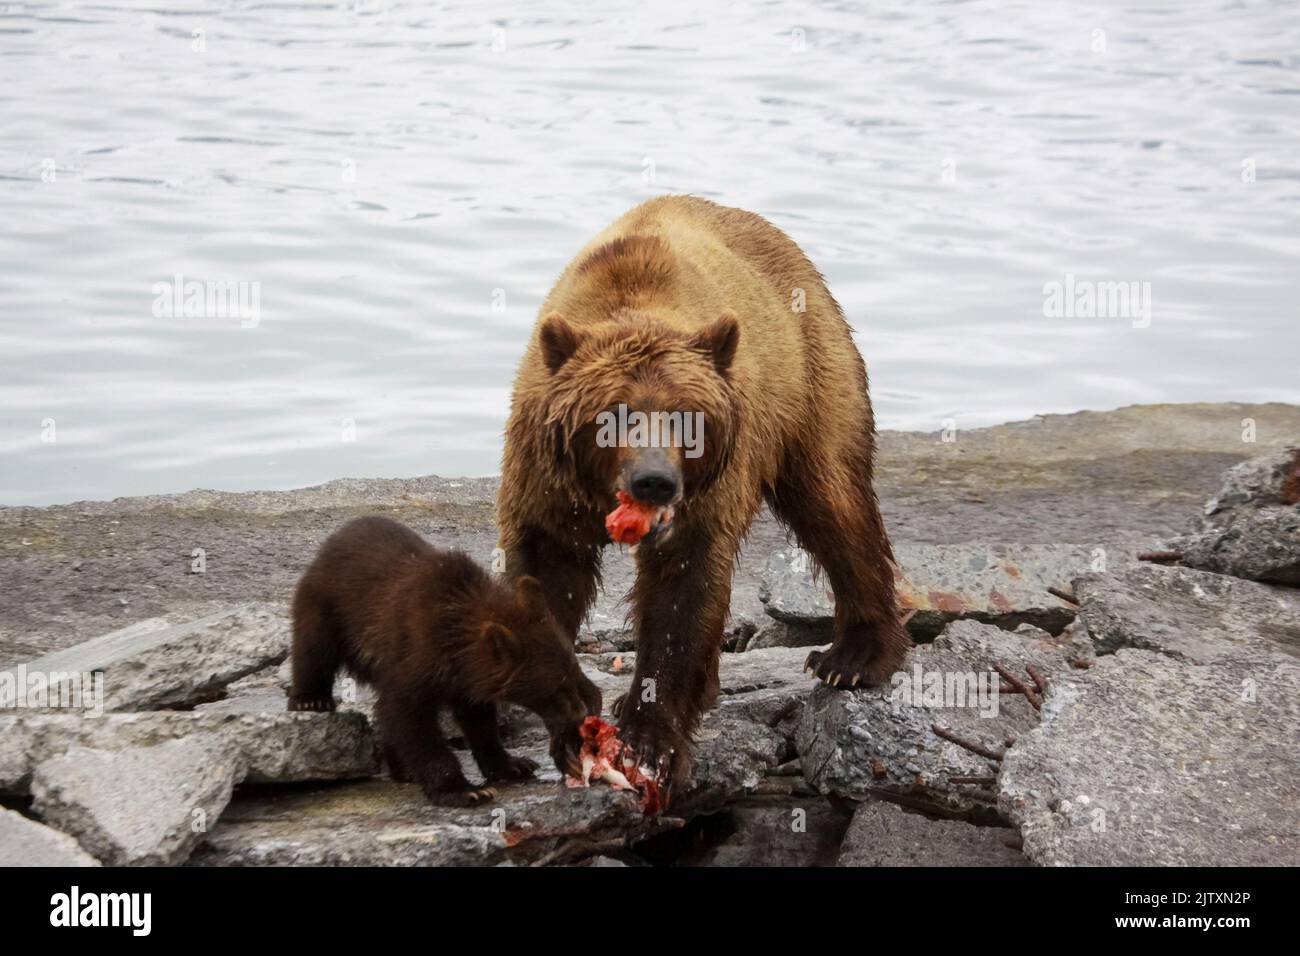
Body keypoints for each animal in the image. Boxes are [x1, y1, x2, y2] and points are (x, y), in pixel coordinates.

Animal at [289, 515, 598, 806]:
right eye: (556, 689)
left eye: (573, 676)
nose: (580, 714)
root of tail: (334, 539)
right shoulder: (413, 653)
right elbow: (410, 718)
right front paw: (464, 790)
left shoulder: (468, 678)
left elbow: (479, 722)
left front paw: (513, 765)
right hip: (327, 604)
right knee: (314, 649)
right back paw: (310, 699)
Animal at [496, 196, 915, 790]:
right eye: (612, 415)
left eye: (684, 418)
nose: (654, 480)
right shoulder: (544, 479)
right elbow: (548, 574)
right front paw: (566, 724)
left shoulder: (703, 500)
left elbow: (683, 590)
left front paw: (650, 742)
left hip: (811, 377)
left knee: (834, 505)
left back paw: (852, 657)